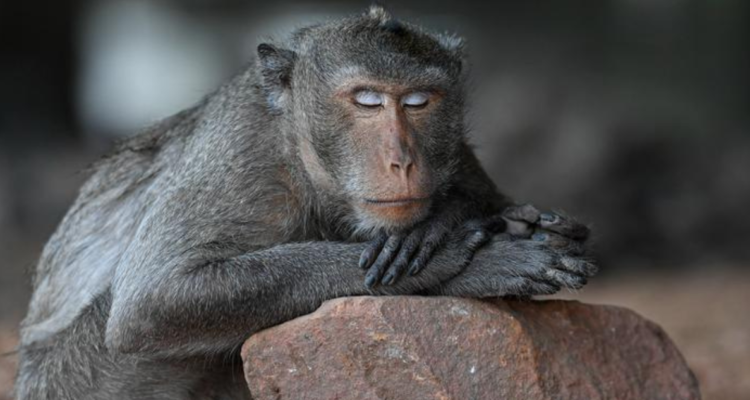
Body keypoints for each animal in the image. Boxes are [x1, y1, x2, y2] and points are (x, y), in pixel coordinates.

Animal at [15, 6, 596, 400]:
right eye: (367, 101)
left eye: (417, 102)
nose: (403, 160)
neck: (305, 160)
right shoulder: (240, 150)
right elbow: (150, 303)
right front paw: (461, 257)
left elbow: (486, 193)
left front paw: (455, 221)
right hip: (74, 379)